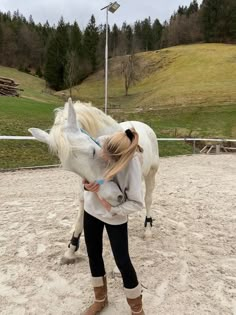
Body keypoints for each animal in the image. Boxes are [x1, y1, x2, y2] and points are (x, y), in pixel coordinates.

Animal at [29, 100, 159, 266]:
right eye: (69, 168)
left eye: (93, 151)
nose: (113, 197)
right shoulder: (85, 190)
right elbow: (80, 219)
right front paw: (70, 251)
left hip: (151, 174)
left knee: (148, 199)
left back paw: (148, 230)